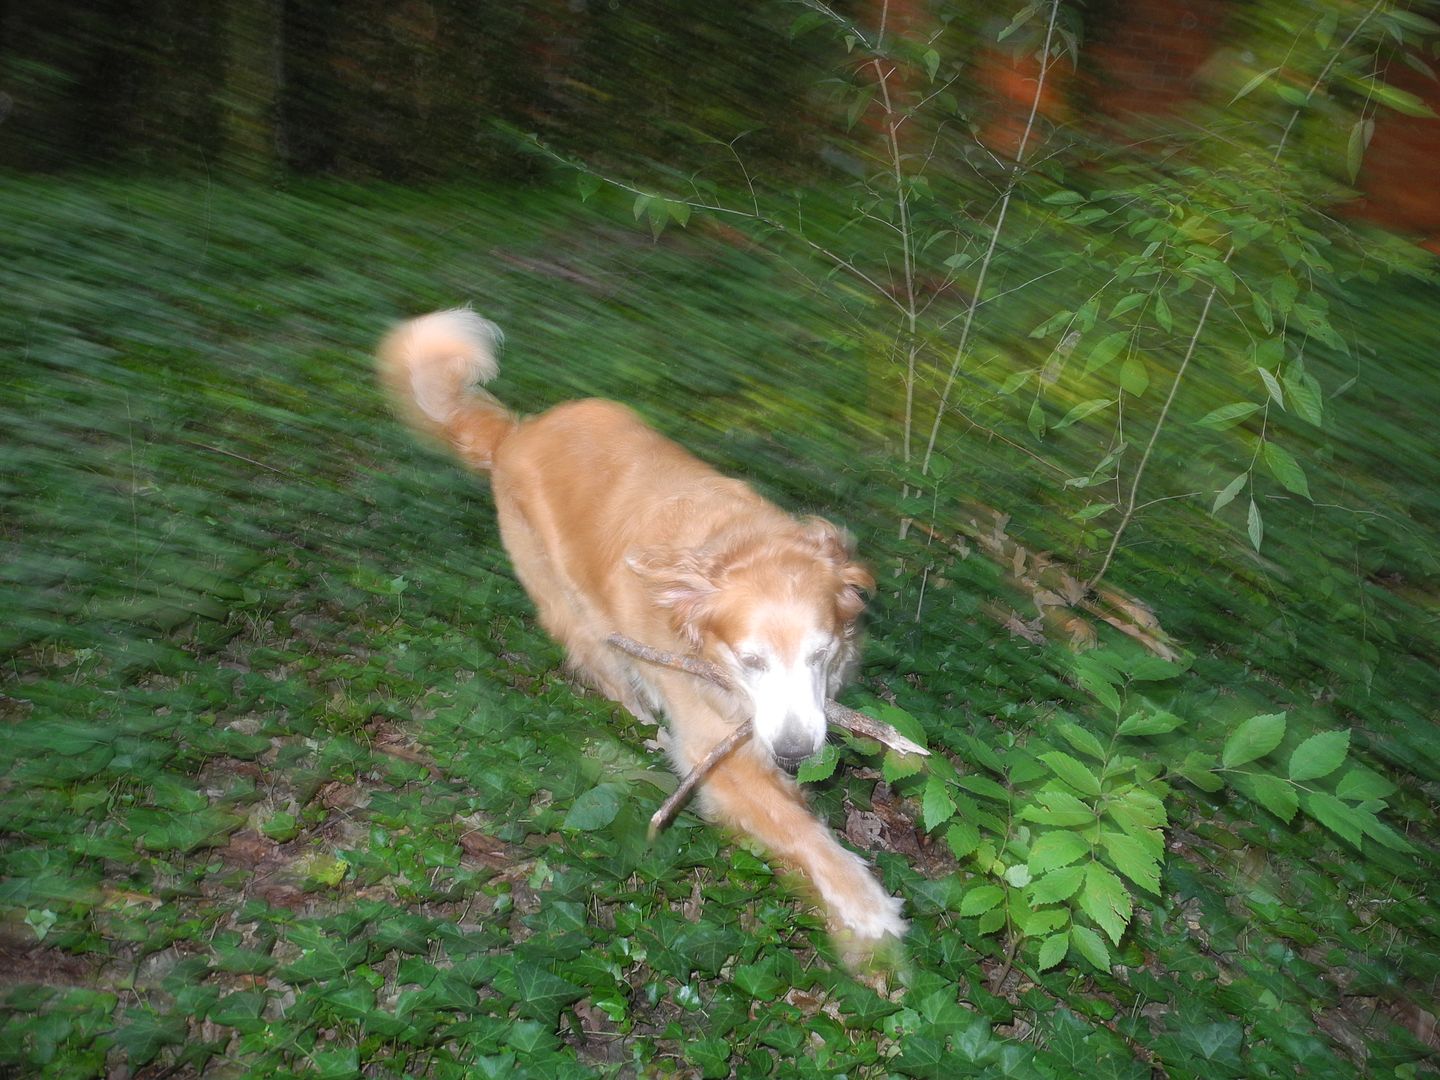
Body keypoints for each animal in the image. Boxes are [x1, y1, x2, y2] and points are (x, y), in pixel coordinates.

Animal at [377, 308, 904, 950]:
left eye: (820, 655)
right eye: (750, 661)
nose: (796, 753)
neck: (729, 547)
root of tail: (517, 432)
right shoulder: (713, 747)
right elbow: (794, 825)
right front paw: (865, 903)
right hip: (573, 609)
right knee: (604, 669)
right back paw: (642, 716)